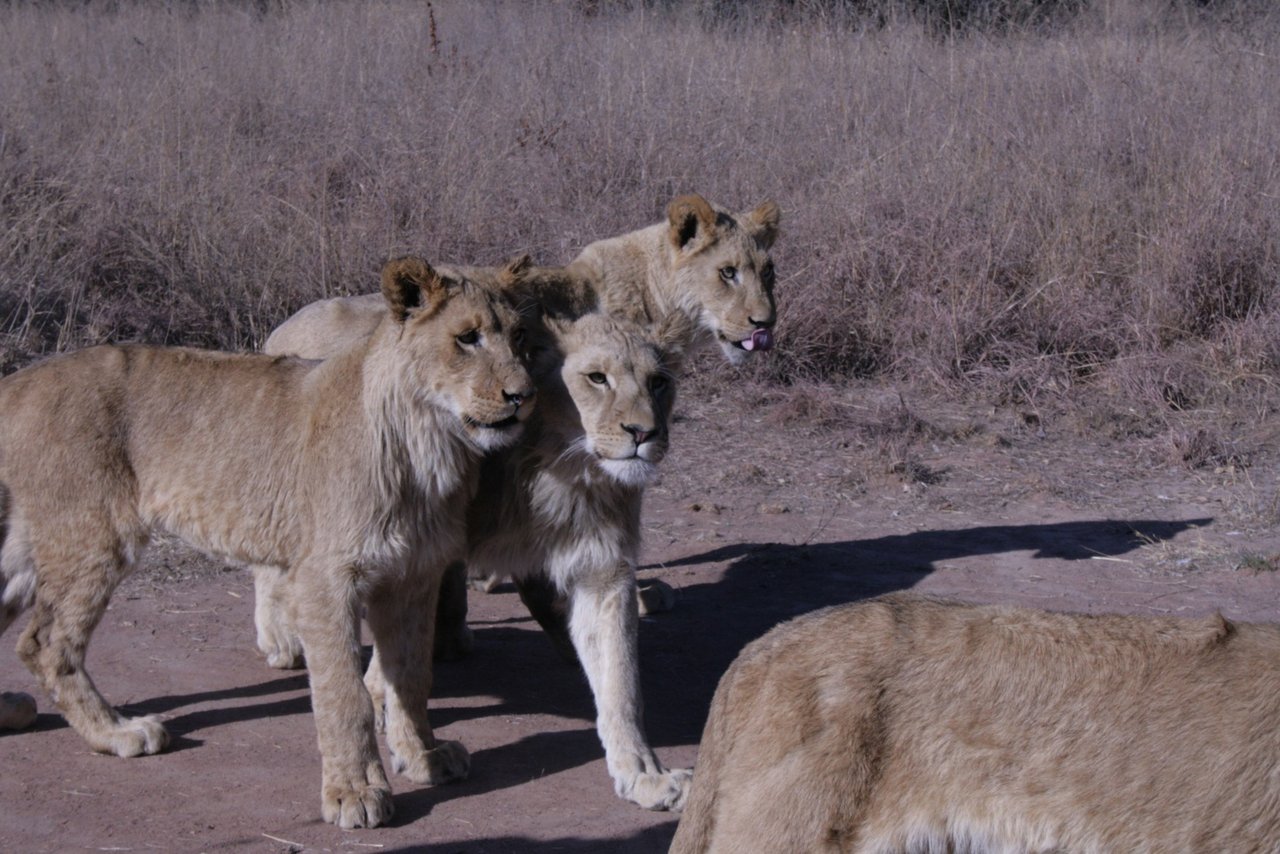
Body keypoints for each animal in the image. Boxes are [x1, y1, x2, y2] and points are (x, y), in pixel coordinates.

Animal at [0, 256, 535, 829]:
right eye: (467, 338)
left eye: (520, 337)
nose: (524, 396)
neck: (429, 440)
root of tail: (18, 380)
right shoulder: (325, 578)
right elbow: (344, 693)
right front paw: (355, 791)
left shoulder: (414, 575)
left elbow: (411, 676)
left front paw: (424, 756)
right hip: (93, 536)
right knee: (45, 644)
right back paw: (117, 731)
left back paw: (13, 710)